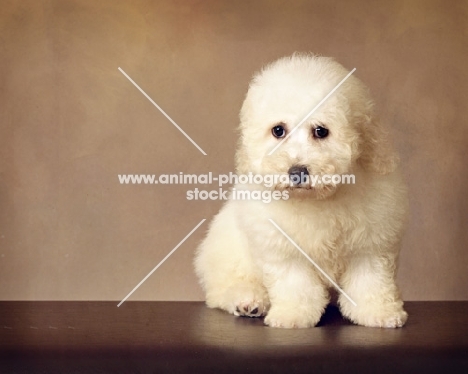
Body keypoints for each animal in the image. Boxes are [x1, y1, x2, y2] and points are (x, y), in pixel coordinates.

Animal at [194, 54, 406, 328]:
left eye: (321, 131)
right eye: (278, 130)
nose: (297, 171)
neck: (317, 199)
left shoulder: (371, 242)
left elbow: (371, 278)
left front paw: (378, 312)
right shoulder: (282, 246)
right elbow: (295, 282)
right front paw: (293, 314)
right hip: (228, 252)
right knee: (223, 289)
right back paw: (248, 301)